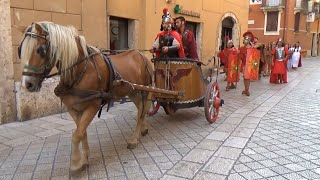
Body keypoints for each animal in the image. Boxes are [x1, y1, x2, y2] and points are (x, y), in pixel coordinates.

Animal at [19, 21, 154, 174]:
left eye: (40, 50)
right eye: (20, 49)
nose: (27, 84)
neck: (81, 70)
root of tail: (141, 55)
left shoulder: (92, 106)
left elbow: (76, 135)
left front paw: (75, 164)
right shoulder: (73, 108)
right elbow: (81, 132)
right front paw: (83, 160)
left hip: (145, 89)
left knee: (142, 111)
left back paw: (134, 139)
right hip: (132, 91)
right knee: (141, 109)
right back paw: (143, 129)